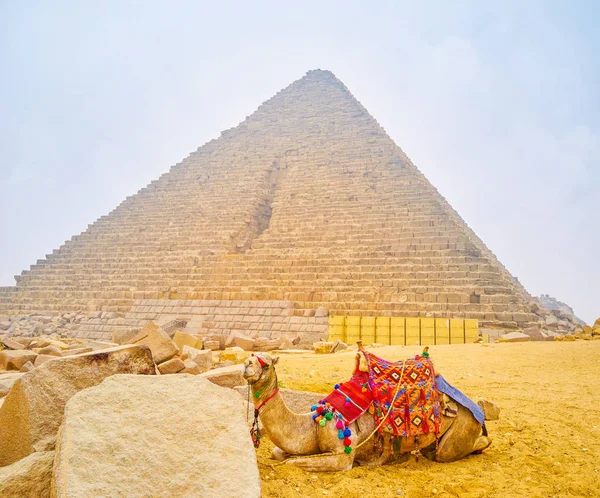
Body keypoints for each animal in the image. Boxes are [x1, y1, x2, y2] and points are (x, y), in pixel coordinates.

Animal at [244, 350, 492, 470]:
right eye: (251, 357)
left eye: (266, 362)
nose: (247, 365)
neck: (313, 423)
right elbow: (279, 453)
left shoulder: (342, 454)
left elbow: (290, 462)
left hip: (462, 426)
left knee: (451, 451)